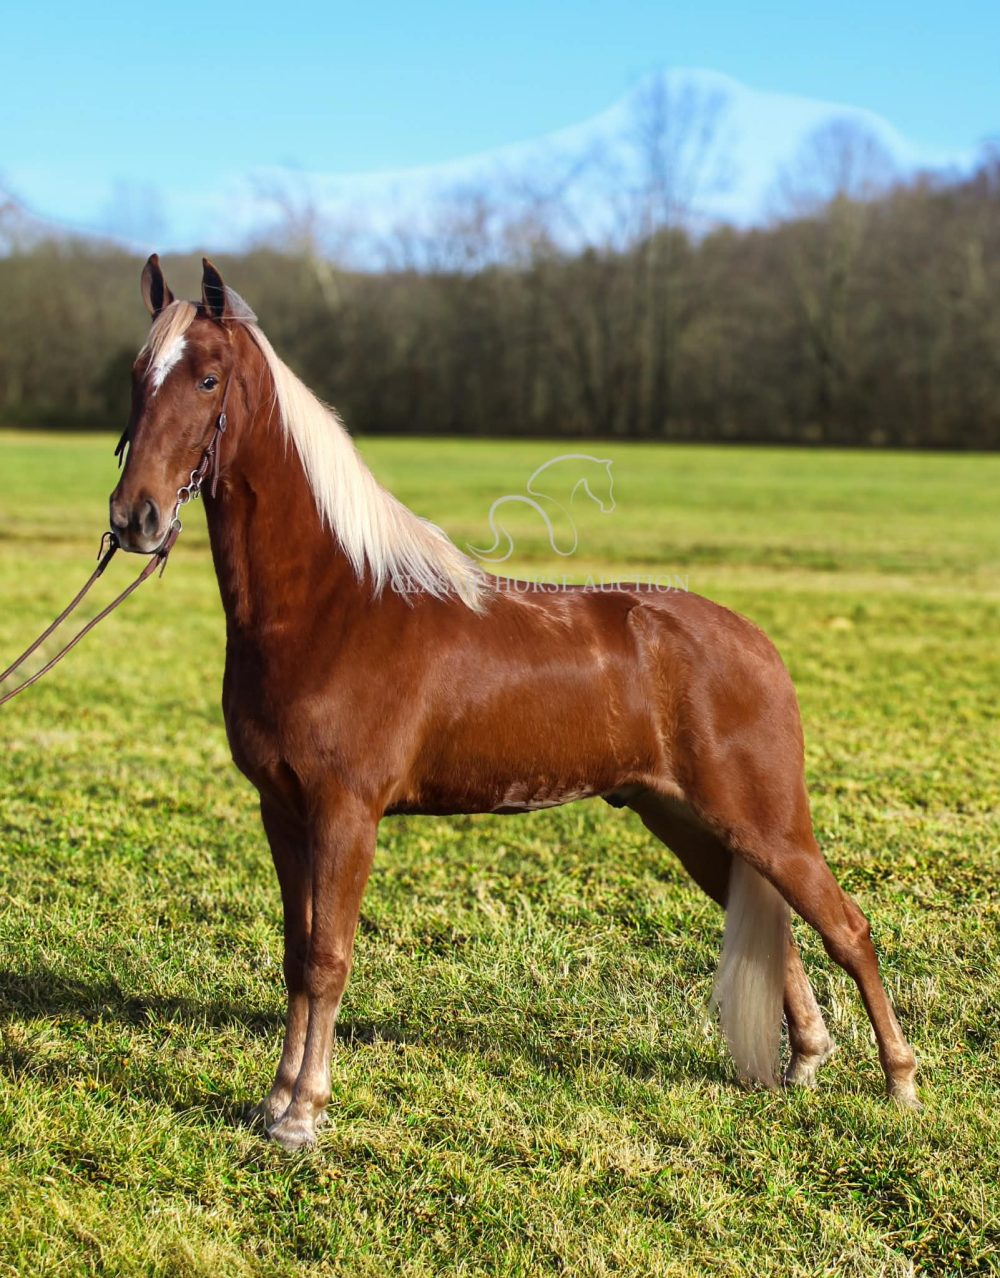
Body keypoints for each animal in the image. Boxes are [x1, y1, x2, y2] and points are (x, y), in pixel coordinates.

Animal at [108, 255, 919, 1149]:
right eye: (137, 379)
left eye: (208, 378)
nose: (136, 518)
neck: (331, 603)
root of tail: (757, 644)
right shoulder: (282, 812)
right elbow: (296, 953)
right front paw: (278, 1098)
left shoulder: (345, 814)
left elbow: (328, 959)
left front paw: (305, 1115)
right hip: (696, 828)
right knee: (790, 937)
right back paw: (806, 1062)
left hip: (767, 825)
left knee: (847, 927)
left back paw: (900, 1083)